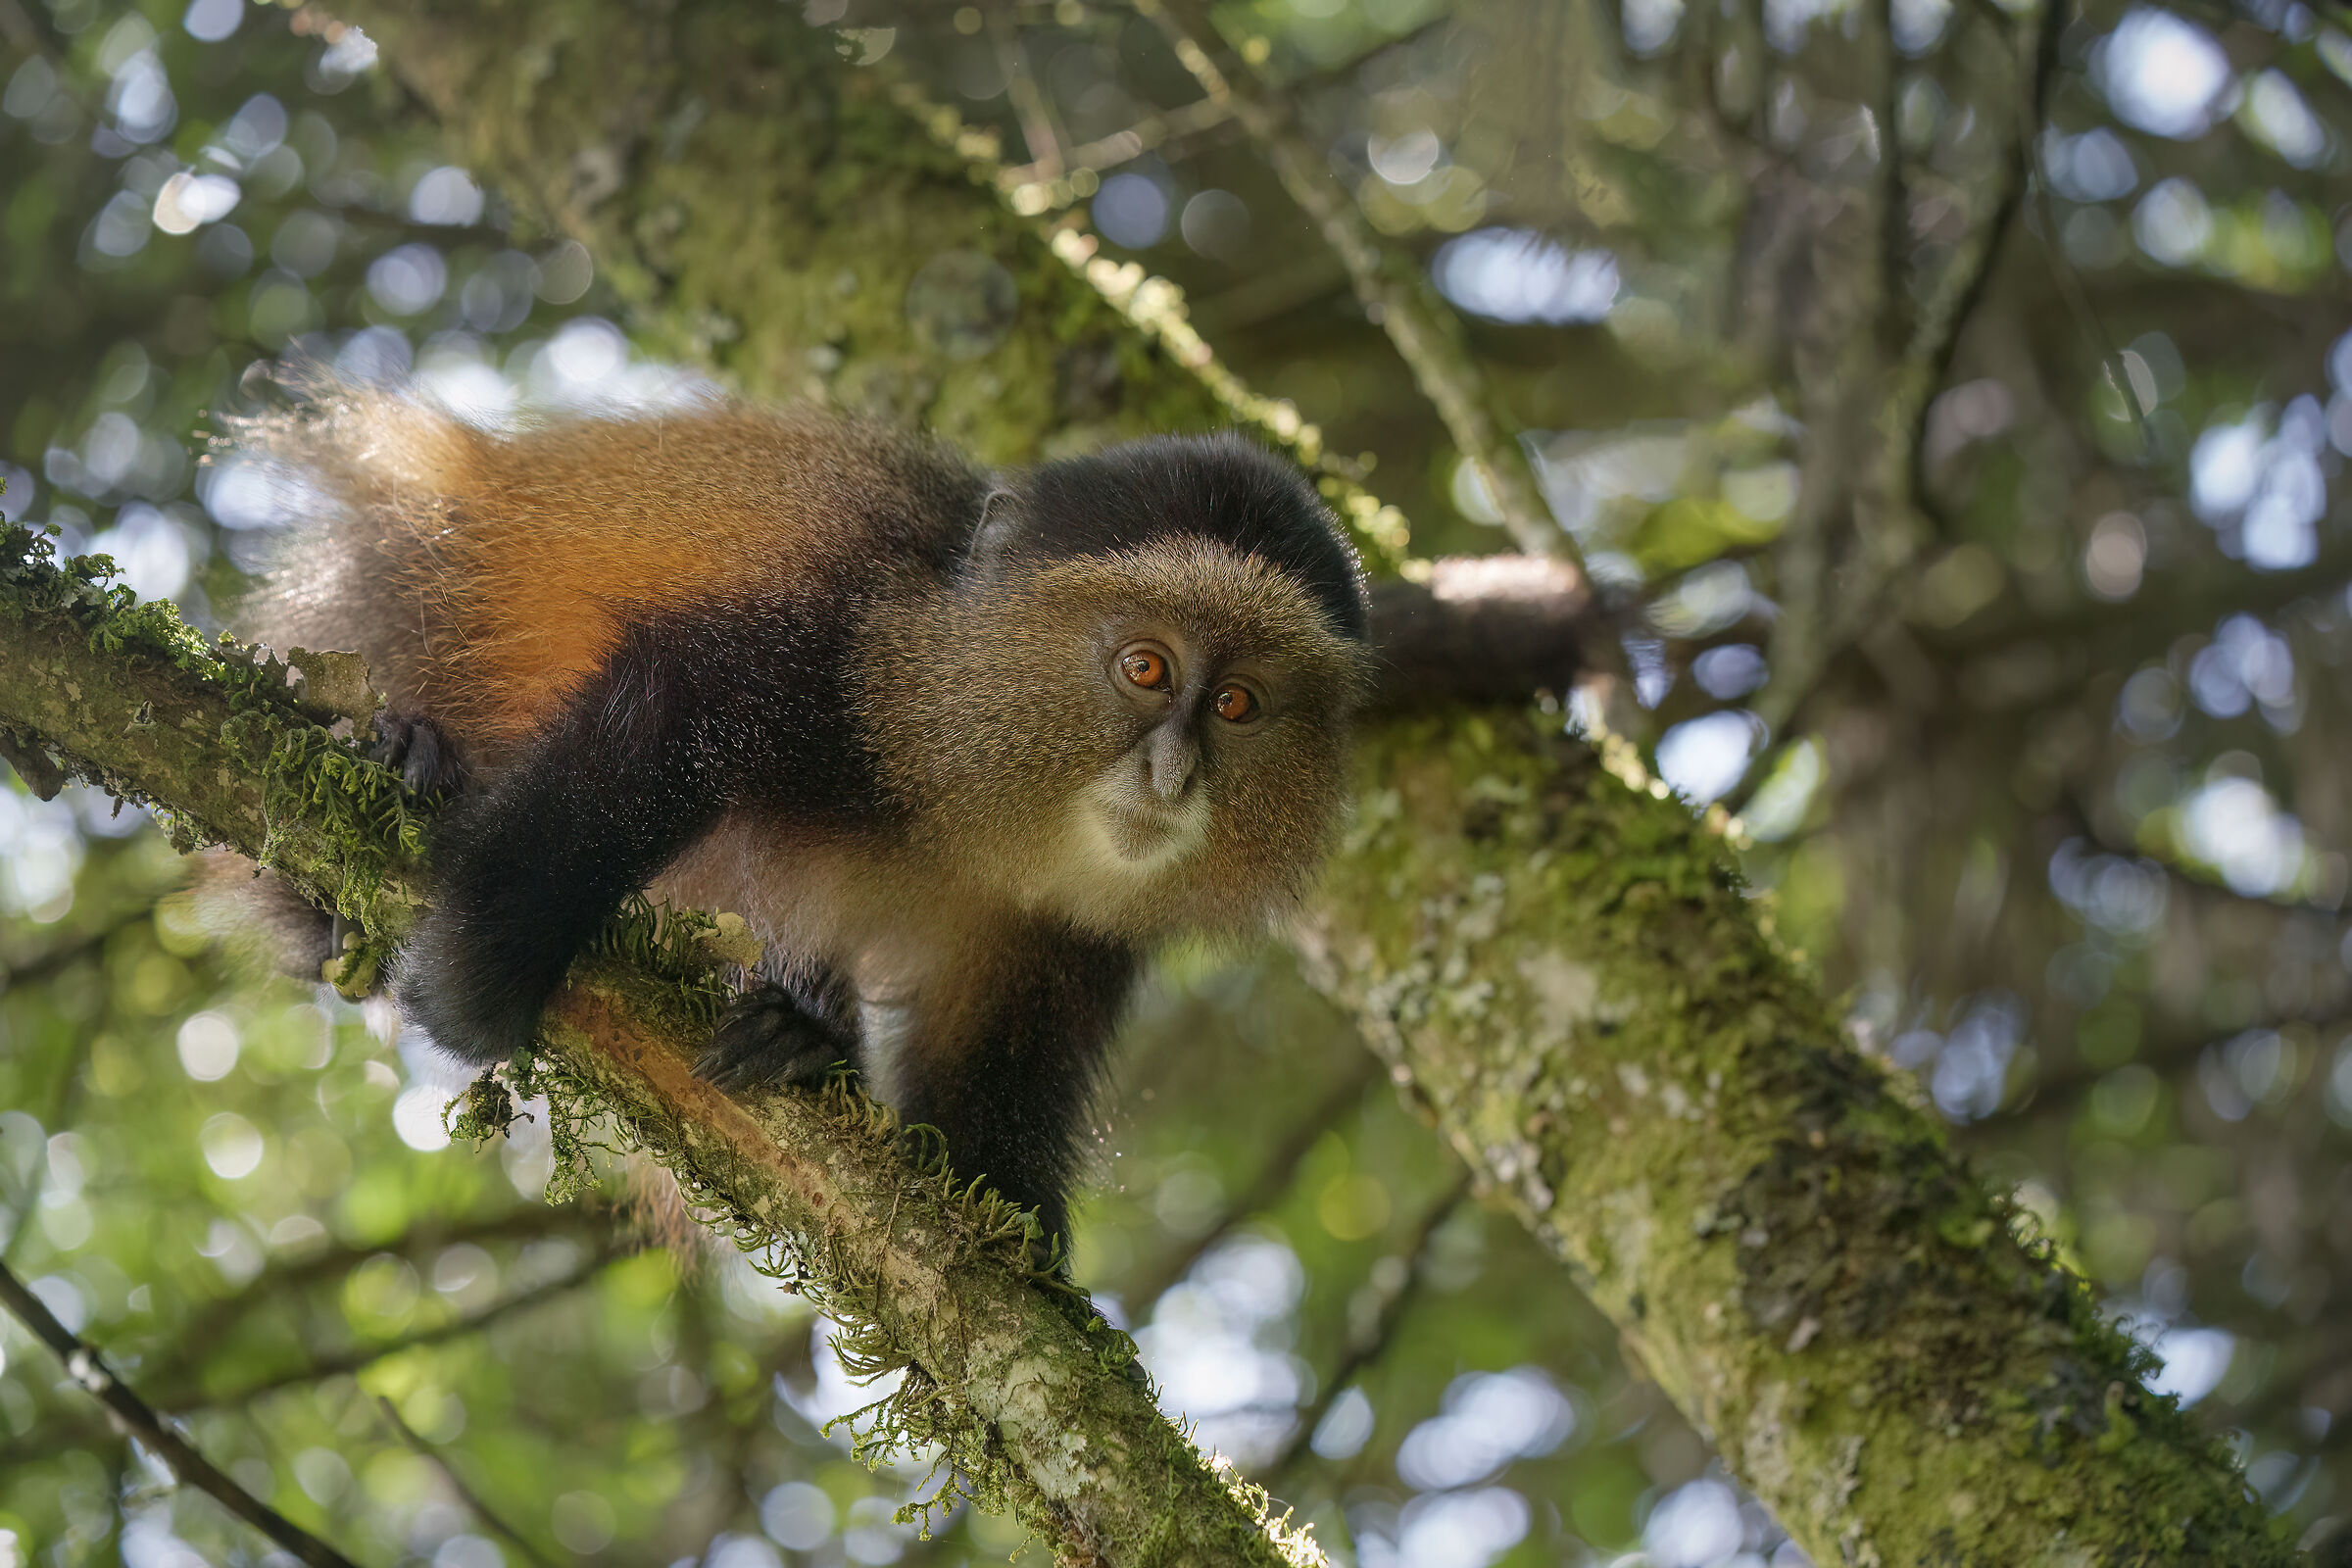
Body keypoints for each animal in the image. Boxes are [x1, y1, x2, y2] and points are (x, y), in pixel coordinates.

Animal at [227, 388, 1370, 1254]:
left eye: (1238, 704)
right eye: (1146, 669)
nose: (1173, 774)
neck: (965, 800)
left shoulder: (1062, 935)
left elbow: (981, 1117)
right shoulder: (835, 654)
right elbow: (673, 703)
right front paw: (481, 975)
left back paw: (800, 1034)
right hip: (394, 589)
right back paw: (399, 766)